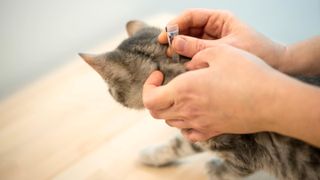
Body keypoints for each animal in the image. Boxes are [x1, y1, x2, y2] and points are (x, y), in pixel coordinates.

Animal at [79, 20, 320, 179]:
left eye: (109, 89)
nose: (110, 93)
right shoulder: (197, 128)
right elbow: (179, 144)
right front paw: (152, 154)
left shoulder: (242, 154)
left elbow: (231, 170)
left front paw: (213, 168)